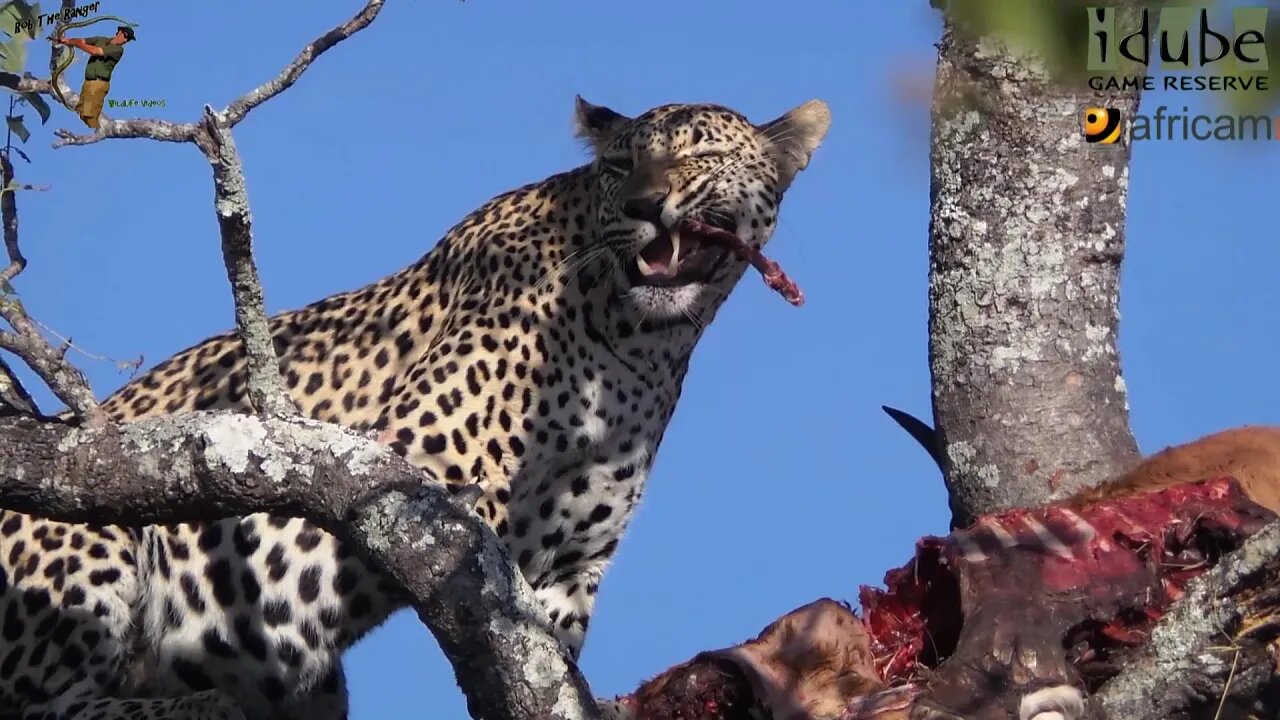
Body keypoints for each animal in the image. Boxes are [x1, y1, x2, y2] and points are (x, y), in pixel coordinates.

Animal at [0, 96, 829, 717]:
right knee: (54, 702)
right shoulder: (417, 466)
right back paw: (199, 705)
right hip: (86, 543)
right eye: (621, 165)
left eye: (700, 157)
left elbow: (549, 664)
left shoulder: (573, 566)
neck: (640, 344)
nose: (646, 204)